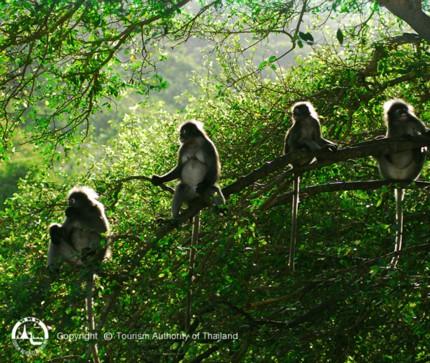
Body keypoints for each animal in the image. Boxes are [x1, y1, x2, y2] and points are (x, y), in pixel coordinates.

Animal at [284, 101, 338, 272]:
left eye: (297, 110)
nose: (293, 114)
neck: (305, 120)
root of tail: (295, 166)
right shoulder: (298, 126)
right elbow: (294, 142)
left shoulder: (313, 121)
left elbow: (319, 138)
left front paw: (331, 145)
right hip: (294, 156)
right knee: (301, 144)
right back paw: (315, 150)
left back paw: (322, 155)